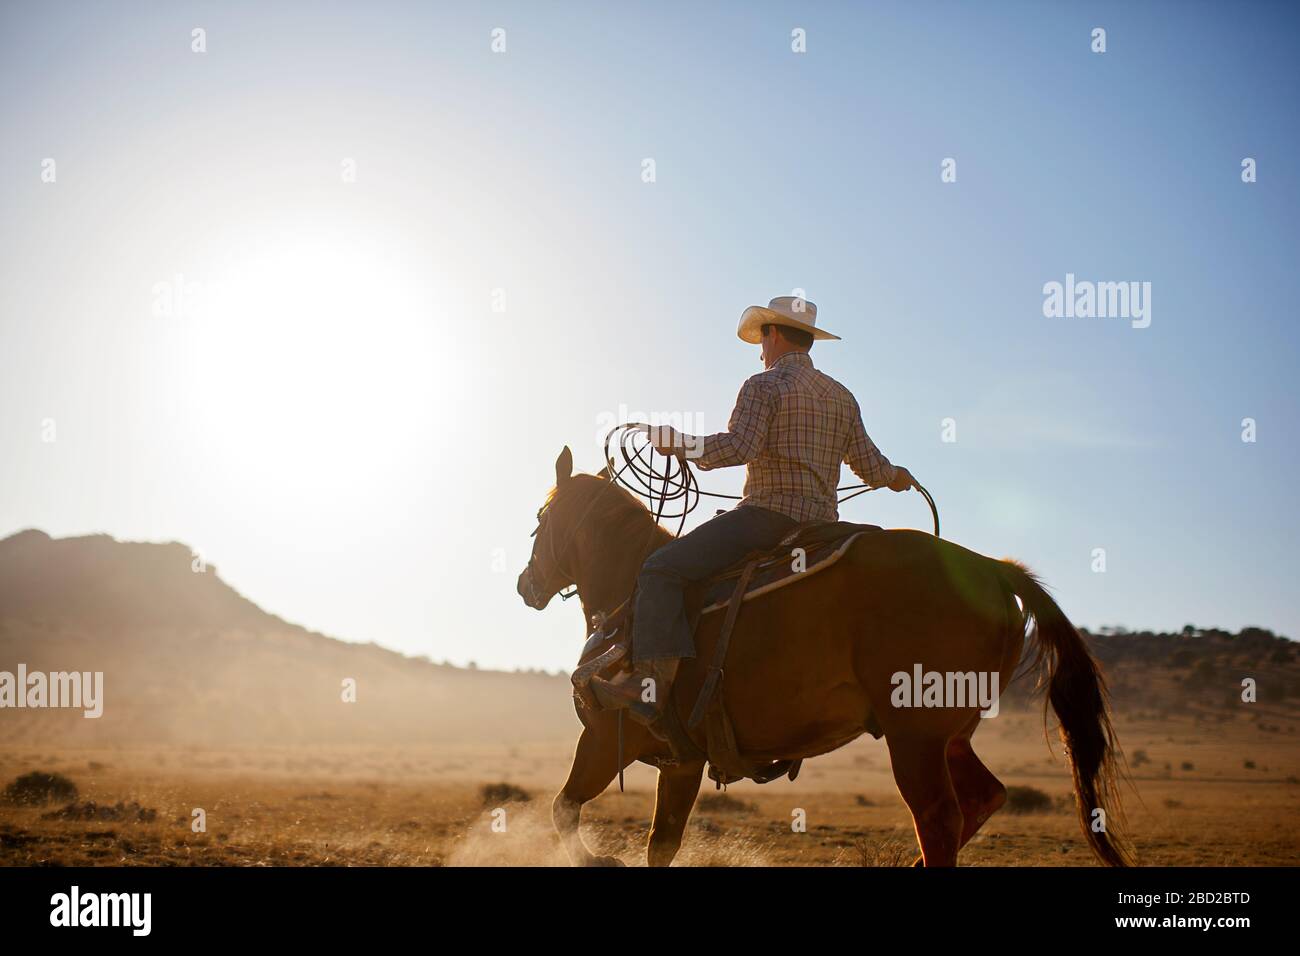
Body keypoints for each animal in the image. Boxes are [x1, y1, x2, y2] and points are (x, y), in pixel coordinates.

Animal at [517, 446, 1133, 867]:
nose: (527, 584)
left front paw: (601, 858)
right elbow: (659, 844)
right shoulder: (683, 760)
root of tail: (989, 567)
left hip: (915, 737)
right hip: (951, 733)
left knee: (938, 818)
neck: (630, 587)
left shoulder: (605, 738)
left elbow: (563, 809)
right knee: (984, 797)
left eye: (542, 521)